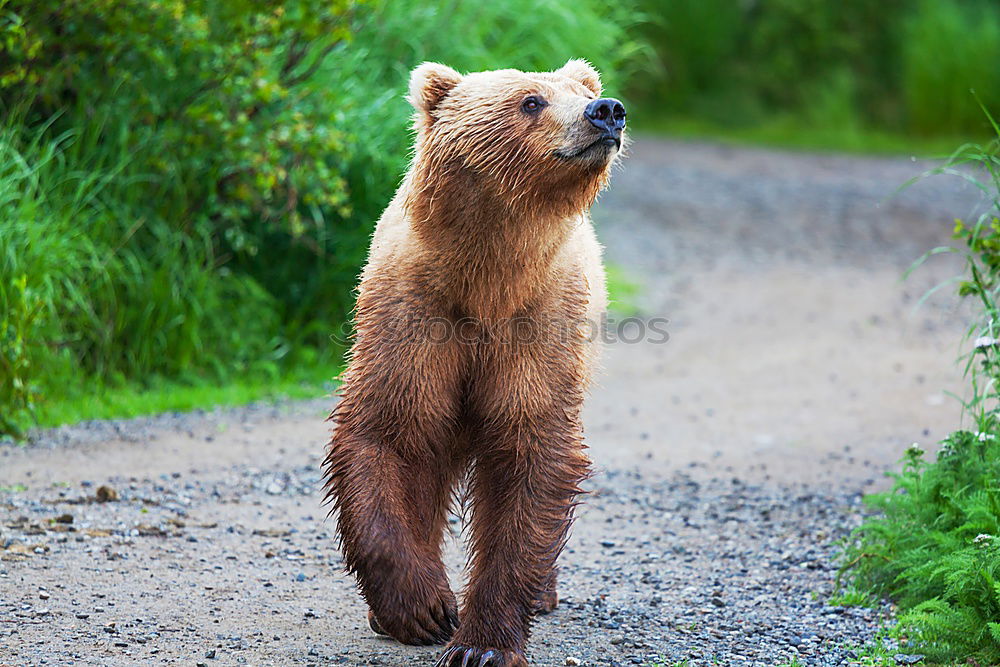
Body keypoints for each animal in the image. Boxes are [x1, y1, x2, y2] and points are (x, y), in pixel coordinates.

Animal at [324, 60, 628, 664]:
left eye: (579, 91)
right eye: (531, 100)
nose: (606, 110)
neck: (486, 278)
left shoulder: (538, 326)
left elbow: (531, 455)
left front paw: (482, 644)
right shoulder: (414, 316)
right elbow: (384, 434)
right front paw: (422, 608)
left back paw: (543, 593)